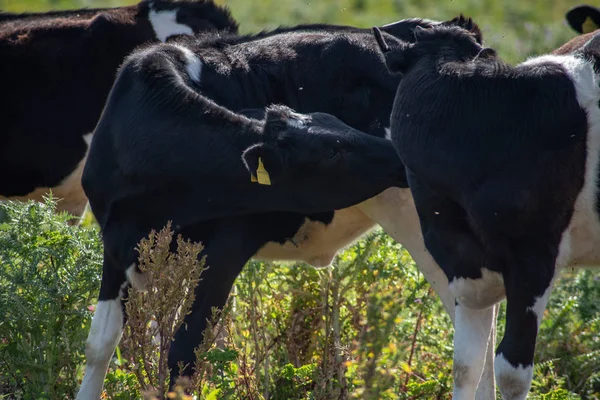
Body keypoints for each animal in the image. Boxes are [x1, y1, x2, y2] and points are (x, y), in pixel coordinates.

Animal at [77, 17, 500, 398]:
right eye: (333, 148)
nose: (398, 155)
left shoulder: (229, 244)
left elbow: (184, 350)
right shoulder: (117, 245)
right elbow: (100, 345)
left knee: (474, 337)